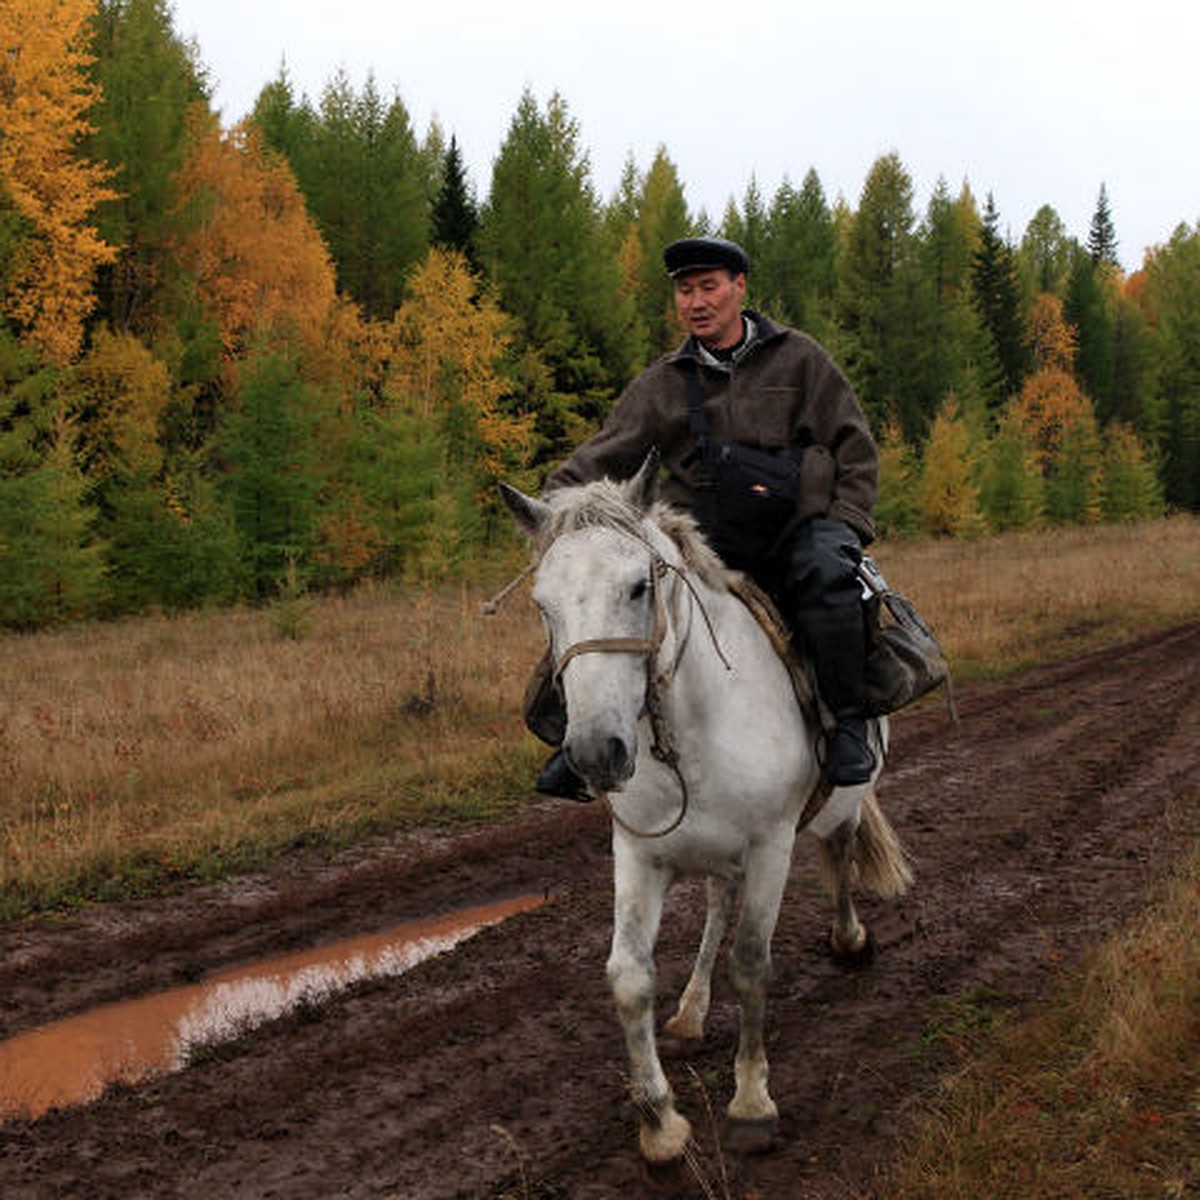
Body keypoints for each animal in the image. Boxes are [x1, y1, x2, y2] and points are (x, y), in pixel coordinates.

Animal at [499, 453, 907, 1166]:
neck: (690, 725)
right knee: (718, 901)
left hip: (838, 808)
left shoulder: (772, 846)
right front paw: (660, 1122)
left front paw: (751, 1103)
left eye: (638, 587)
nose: (595, 752)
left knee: (840, 851)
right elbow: (629, 976)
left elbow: (751, 965)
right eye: (542, 604)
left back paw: (849, 939)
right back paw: (691, 1010)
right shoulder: (638, 854)